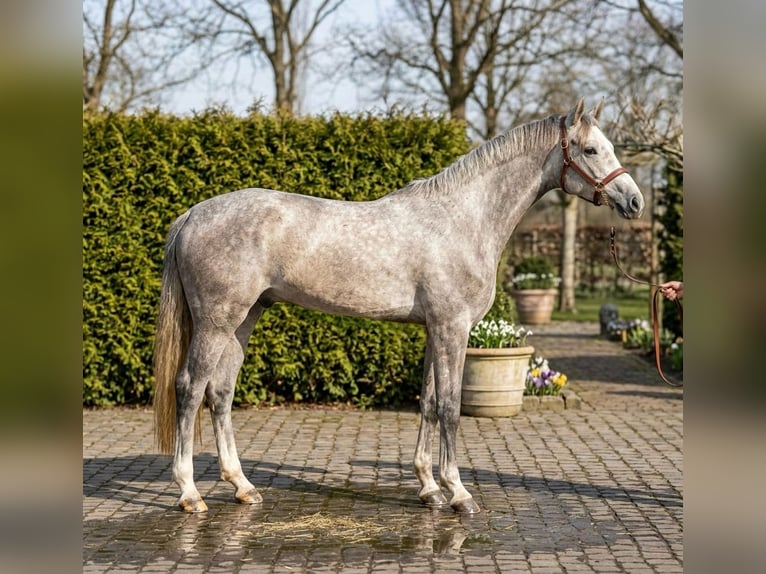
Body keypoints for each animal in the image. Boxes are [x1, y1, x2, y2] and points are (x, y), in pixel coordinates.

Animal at [153, 98, 644, 514]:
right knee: (190, 388)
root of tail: (192, 214)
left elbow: (428, 401)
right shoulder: (452, 327)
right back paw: (190, 494)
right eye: (590, 149)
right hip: (217, 322)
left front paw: (429, 488)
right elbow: (449, 406)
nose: (634, 200)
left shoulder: (434, 328)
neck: (462, 219)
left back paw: (243, 486)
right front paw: (459, 492)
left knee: (220, 392)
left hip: (244, 319)